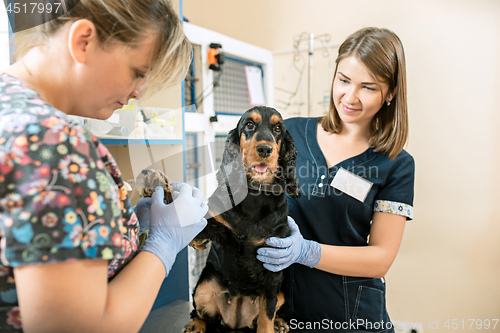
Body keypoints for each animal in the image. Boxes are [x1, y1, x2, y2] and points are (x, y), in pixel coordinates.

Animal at [184, 106, 300, 332]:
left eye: (278, 128)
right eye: (249, 125)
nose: (265, 149)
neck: (254, 194)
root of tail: (235, 320)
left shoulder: (273, 263)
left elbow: (267, 312)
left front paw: (269, 326)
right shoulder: (222, 226)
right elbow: (211, 225)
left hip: (281, 291)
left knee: (270, 311)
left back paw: (279, 322)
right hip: (204, 285)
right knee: (199, 312)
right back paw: (195, 324)